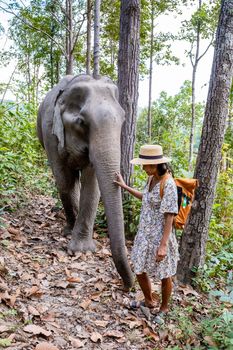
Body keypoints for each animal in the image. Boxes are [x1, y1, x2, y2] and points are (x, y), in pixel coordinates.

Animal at [37, 74, 134, 290]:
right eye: (81, 122)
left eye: (124, 119)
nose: (129, 286)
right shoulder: (49, 131)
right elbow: (64, 179)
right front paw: (75, 244)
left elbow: (92, 184)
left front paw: (83, 251)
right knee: (66, 181)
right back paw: (68, 228)